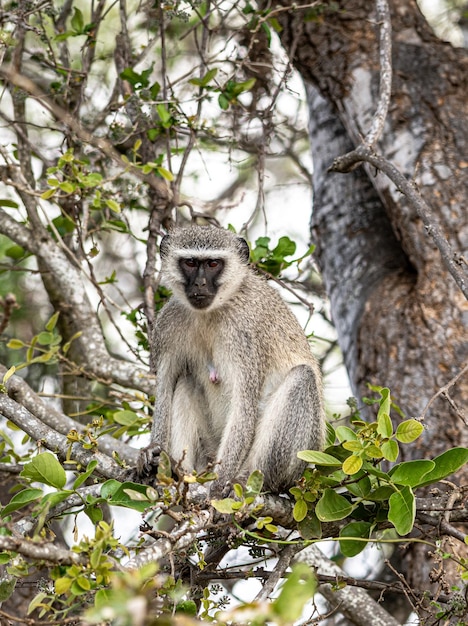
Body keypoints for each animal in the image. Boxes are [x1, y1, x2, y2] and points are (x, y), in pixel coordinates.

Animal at [137, 222, 324, 494]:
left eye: (213, 263)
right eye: (190, 263)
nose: (200, 284)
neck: (212, 312)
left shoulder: (247, 333)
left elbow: (243, 408)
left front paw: (219, 486)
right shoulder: (168, 324)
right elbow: (165, 385)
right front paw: (154, 451)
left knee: (303, 377)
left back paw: (248, 480)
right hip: (208, 451)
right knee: (185, 380)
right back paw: (179, 471)